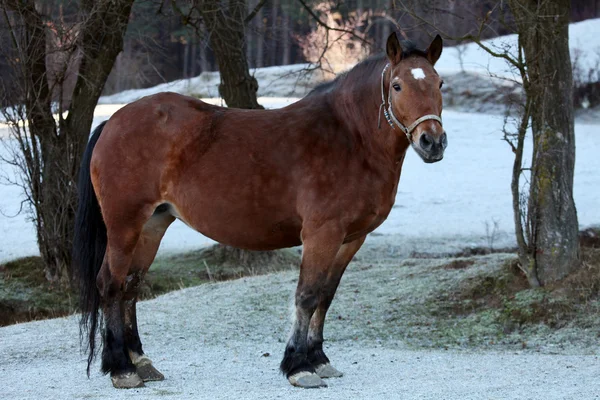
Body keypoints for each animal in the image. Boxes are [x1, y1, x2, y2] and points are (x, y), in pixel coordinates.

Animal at [74, 32, 446, 390]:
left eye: (439, 83)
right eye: (397, 85)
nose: (433, 142)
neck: (350, 138)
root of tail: (112, 121)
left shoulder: (351, 239)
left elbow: (326, 296)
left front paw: (320, 360)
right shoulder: (322, 234)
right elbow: (307, 296)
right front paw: (299, 367)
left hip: (153, 225)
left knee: (130, 287)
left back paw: (140, 362)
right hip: (124, 225)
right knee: (110, 285)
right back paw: (122, 369)